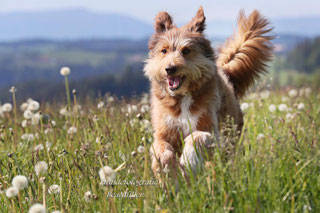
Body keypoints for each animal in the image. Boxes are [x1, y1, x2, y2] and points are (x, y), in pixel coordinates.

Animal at [144, 7, 274, 176]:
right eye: (164, 50)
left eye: (186, 51)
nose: (169, 69)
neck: (183, 96)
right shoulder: (164, 131)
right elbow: (162, 149)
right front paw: (168, 171)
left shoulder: (211, 130)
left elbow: (197, 136)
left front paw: (189, 159)